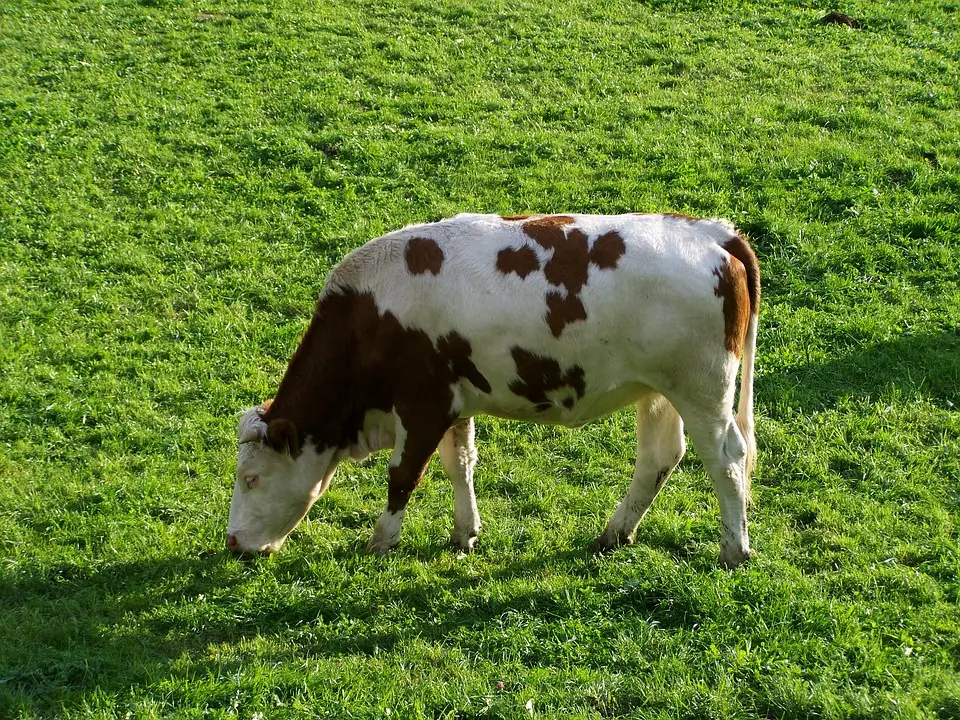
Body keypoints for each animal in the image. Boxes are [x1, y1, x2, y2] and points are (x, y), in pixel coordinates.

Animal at [225, 214, 756, 568]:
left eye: (250, 478)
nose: (231, 542)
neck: (370, 316)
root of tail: (712, 231)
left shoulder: (421, 405)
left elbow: (403, 476)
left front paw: (381, 540)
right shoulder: (454, 403)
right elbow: (459, 464)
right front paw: (464, 533)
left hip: (702, 391)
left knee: (727, 458)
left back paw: (734, 549)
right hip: (658, 391)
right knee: (659, 457)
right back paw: (614, 533)